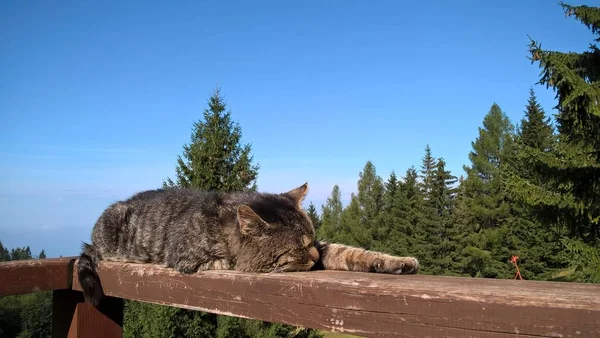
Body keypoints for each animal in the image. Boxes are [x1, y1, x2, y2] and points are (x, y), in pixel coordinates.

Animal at [77, 184, 420, 304]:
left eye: (310, 240)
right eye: (297, 247)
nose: (312, 256)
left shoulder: (325, 247)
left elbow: (350, 252)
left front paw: (396, 262)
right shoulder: (190, 259)